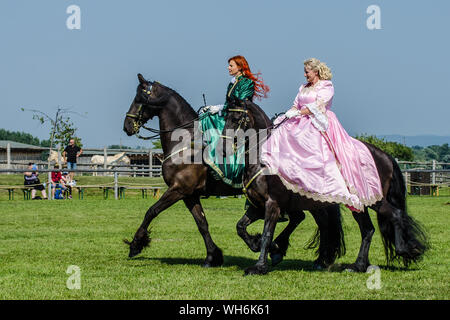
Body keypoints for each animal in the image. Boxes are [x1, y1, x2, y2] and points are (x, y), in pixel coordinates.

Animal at [123, 74, 344, 268]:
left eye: (140, 98)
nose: (127, 126)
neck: (186, 142)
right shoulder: (190, 194)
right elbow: (202, 224)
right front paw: (212, 257)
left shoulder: (178, 189)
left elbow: (151, 211)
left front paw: (135, 245)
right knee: (304, 218)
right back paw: (291, 253)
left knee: (322, 222)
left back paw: (318, 259)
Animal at [225, 98, 428, 276]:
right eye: (224, 117)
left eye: (236, 118)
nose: (224, 147)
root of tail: (384, 156)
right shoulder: (258, 205)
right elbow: (240, 227)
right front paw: (257, 244)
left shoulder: (272, 204)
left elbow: (268, 233)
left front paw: (259, 266)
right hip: (353, 205)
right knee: (366, 229)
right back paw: (357, 265)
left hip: (372, 200)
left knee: (395, 215)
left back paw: (405, 250)